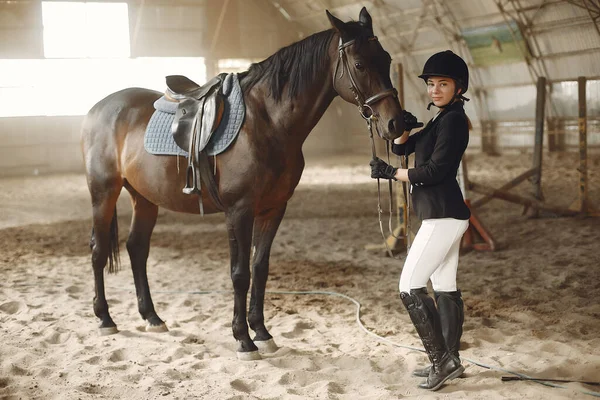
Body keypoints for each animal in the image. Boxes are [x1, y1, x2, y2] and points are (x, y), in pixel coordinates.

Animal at [82, 7, 406, 360]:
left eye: (387, 59)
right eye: (360, 64)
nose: (396, 122)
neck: (266, 122)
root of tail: (97, 109)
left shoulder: (273, 209)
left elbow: (260, 268)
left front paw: (262, 332)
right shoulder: (239, 211)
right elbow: (240, 274)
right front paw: (243, 339)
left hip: (144, 199)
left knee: (137, 249)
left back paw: (152, 317)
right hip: (103, 193)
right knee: (99, 251)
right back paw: (105, 318)